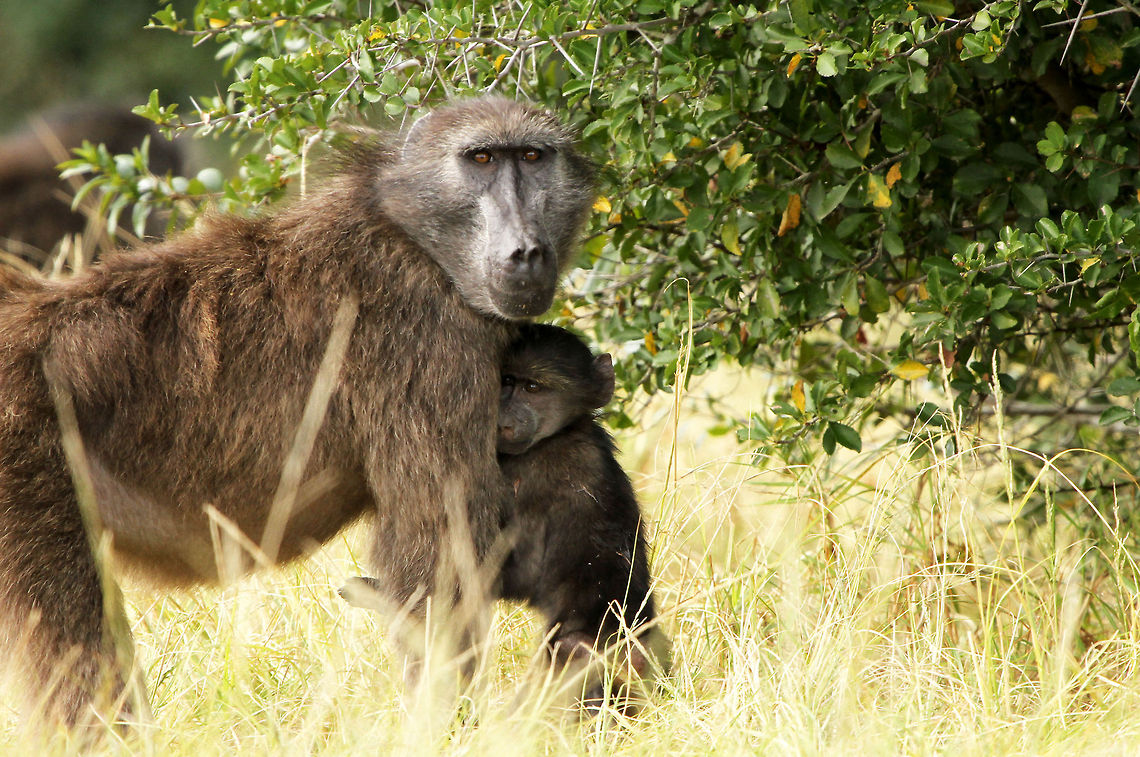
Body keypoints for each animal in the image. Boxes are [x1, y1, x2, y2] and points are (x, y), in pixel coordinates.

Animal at [0, 96, 595, 728]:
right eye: (481, 159)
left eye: (532, 158)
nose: (526, 251)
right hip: (30, 472)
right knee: (75, 650)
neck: (410, 235)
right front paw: (447, 727)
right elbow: (435, 553)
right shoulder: (430, 338)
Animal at [341, 324, 668, 706]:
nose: (501, 414)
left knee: (571, 652)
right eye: (506, 380)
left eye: (533, 387)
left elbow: (514, 571)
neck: (557, 436)